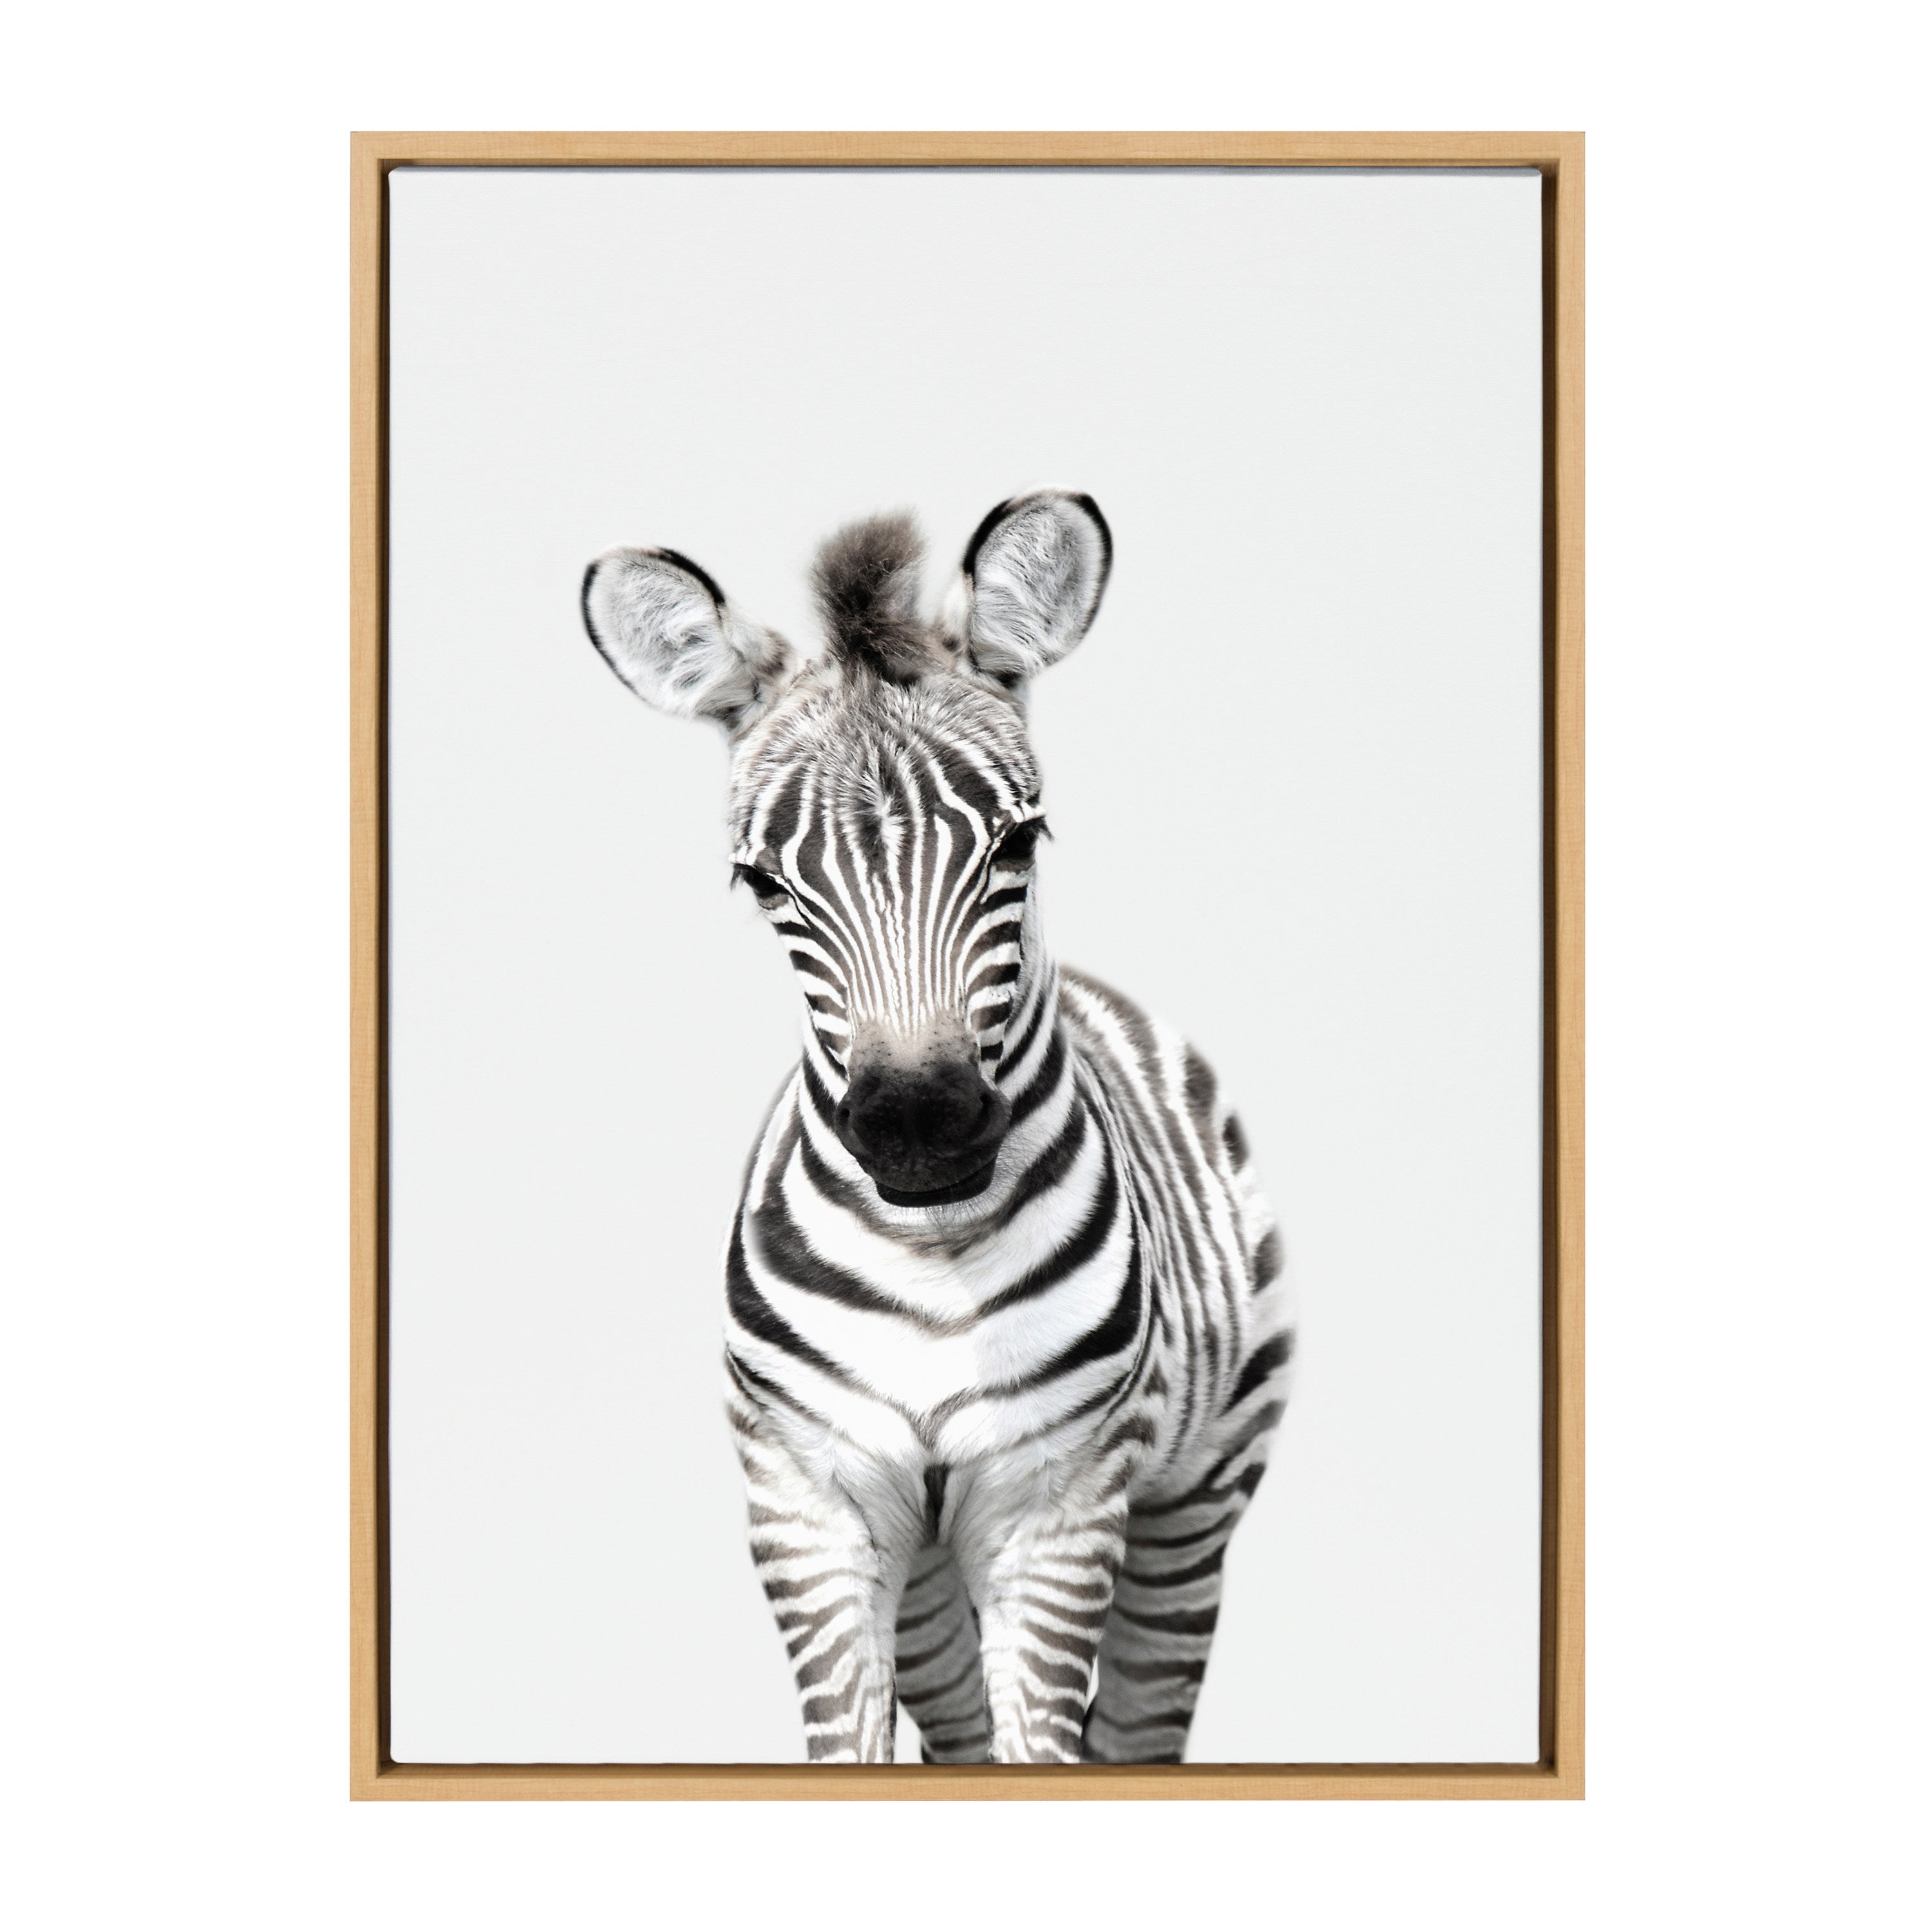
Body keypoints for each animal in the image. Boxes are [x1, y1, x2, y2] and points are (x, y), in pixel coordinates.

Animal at [581, 490, 1295, 1765]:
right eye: (764, 883)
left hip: (1197, 1494)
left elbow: (1048, 1746)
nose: (920, 1130)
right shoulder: (808, 1503)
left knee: (1141, 1723)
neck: (933, 1263)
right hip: (922, 1574)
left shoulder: (1059, 1507)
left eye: (1019, 842)